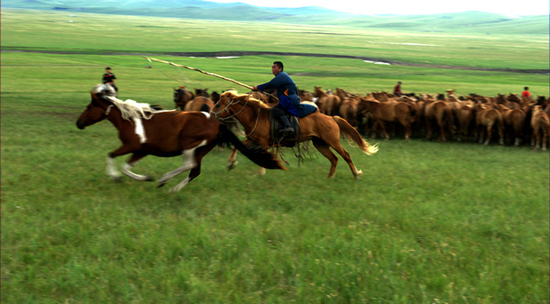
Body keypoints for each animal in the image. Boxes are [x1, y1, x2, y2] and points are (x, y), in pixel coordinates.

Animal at [77, 83, 286, 192]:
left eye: (89, 107)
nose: (78, 123)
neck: (130, 119)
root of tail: (217, 122)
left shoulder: (131, 146)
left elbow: (112, 156)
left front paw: (116, 177)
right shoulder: (141, 151)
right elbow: (126, 167)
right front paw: (144, 177)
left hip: (189, 144)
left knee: (189, 165)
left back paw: (165, 180)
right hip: (202, 149)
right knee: (195, 170)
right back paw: (172, 187)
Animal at [212, 91, 380, 179]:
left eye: (219, 104)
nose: (212, 115)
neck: (255, 116)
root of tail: (331, 117)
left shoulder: (264, 142)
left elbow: (262, 156)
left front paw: (261, 172)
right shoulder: (253, 140)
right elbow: (237, 147)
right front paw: (230, 163)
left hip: (333, 142)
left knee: (346, 155)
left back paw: (356, 174)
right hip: (320, 144)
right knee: (334, 159)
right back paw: (329, 177)